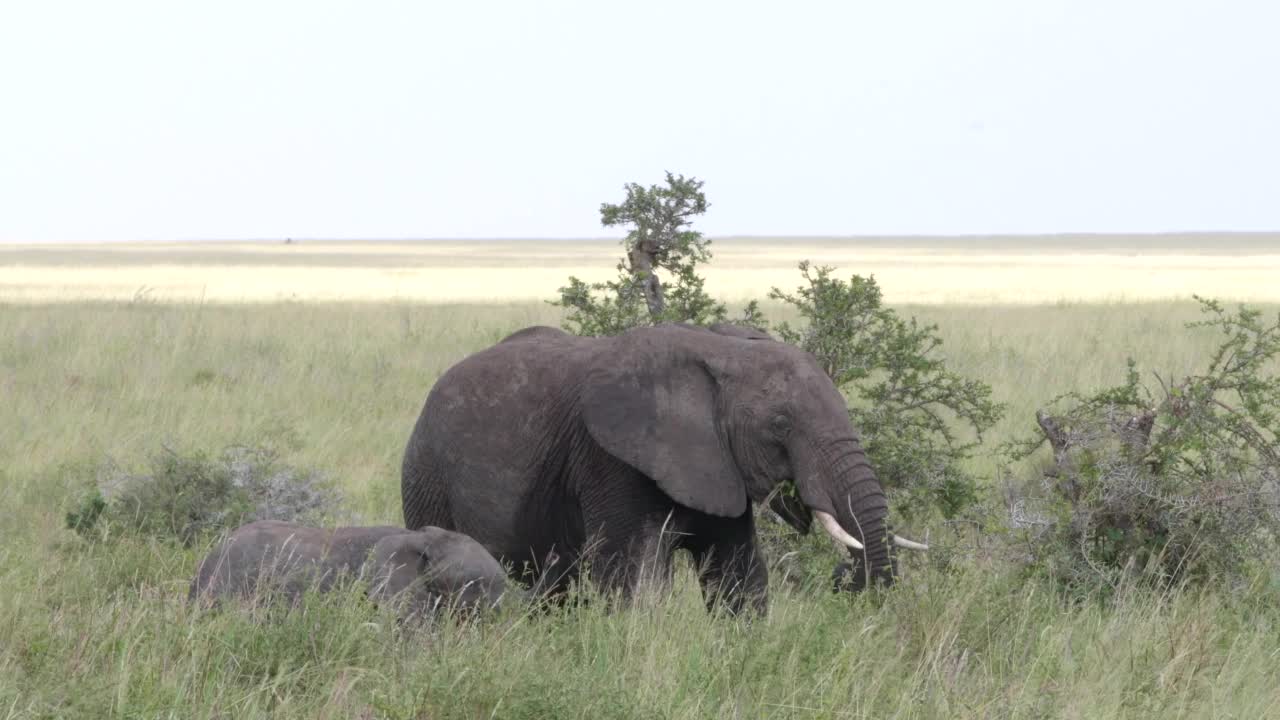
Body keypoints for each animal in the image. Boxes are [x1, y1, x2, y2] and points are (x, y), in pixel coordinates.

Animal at [399, 324, 921, 609]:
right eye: (779, 425)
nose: (841, 578)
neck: (722, 351)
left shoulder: (717, 462)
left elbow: (739, 574)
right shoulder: (610, 460)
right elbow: (635, 581)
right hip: (426, 472)